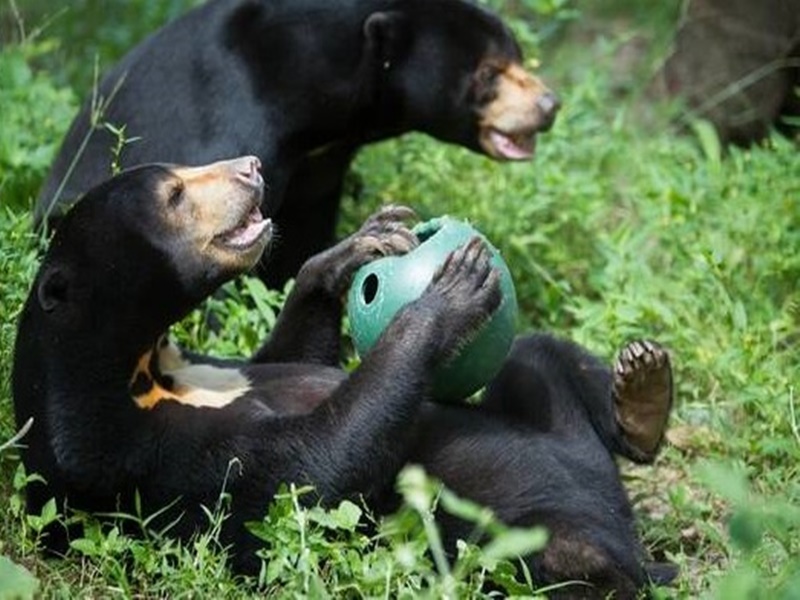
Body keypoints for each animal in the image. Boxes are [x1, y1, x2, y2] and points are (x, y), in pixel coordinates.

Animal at [16, 156, 675, 597]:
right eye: (176, 193)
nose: (252, 167)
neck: (147, 367)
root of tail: (630, 537)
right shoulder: (148, 458)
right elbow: (310, 473)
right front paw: (449, 293)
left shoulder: (220, 370)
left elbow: (298, 357)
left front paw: (360, 244)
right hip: (518, 546)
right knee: (562, 561)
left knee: (539, 357)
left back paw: (641, 396)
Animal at [34, 0, 560, 288]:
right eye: (488, 74)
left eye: (516, 55)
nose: (549, 104)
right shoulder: (230, 121)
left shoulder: (321, 164)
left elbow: (304, 234)